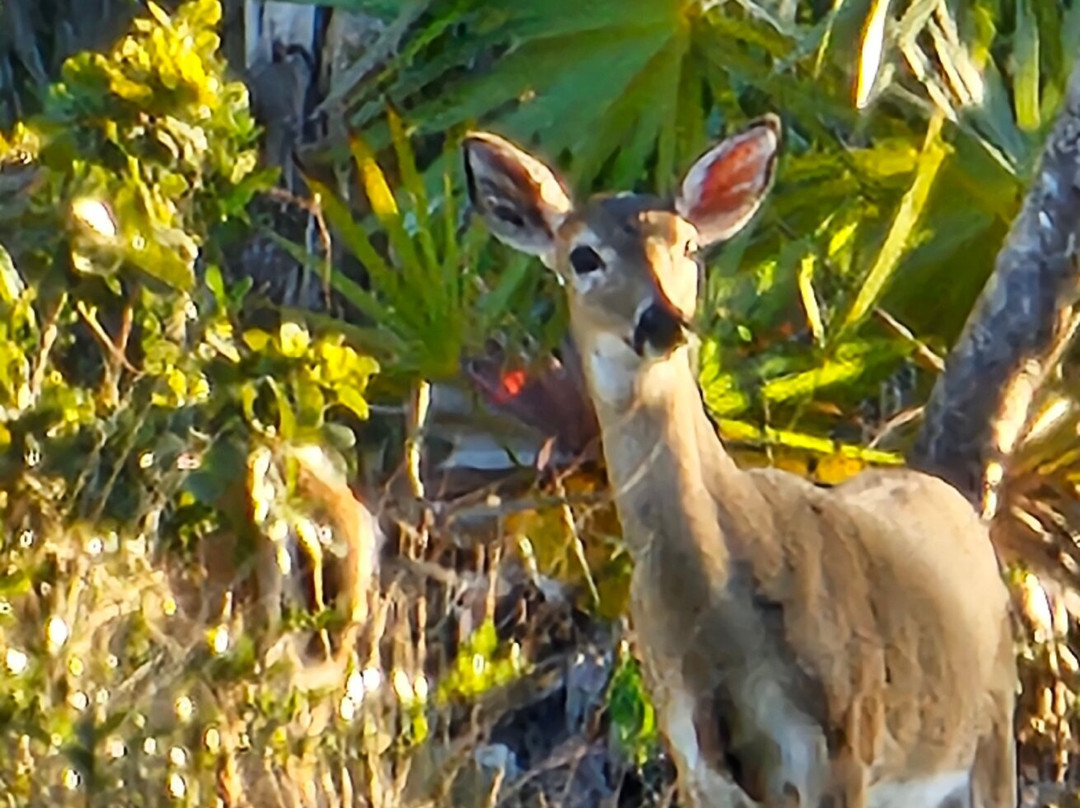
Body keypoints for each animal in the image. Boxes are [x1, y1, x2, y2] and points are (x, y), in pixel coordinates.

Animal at [462, 117, 1018, 807]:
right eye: (584, 256)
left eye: (689, 246)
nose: (664, 321)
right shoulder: (694, 759)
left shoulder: (842, 743)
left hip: (990, 727)